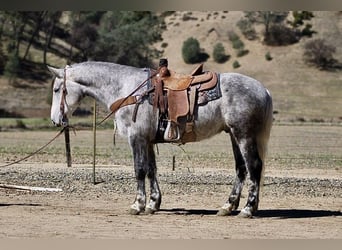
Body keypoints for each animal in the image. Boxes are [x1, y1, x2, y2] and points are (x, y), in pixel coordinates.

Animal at [48, 61, 272, 217]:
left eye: (57, 89)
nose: (55, 120)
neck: (126, 89)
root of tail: (264, 90)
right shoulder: (147, 140)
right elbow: (151, 170)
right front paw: (153, 203)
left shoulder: (136, 137)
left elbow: (139, 170)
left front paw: (137, 204)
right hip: (234, 135)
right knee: (241, 168)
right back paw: (227, 206)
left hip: (244, 135)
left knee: (253, 166)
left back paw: (247, 209)